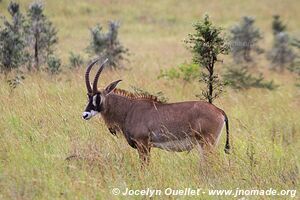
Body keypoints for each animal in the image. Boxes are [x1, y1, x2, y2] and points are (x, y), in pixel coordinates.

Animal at [82, 58, 230, 166]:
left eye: (98, 97)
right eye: (88, 96)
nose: (85, 115)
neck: (129, 109)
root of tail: (219, 111)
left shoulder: (143, 144)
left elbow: (144, 166)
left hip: (207, 143)